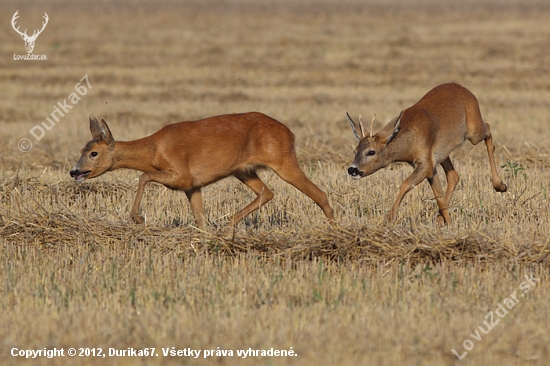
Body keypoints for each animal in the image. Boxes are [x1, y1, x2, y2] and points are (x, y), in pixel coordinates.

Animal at [69, 113, 336, 230]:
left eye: (94, 153)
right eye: (82, 149)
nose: (74, 171)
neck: (154, 150)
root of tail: (290, 134)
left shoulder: (182, 175)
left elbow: (143, 176)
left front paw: (136, 217)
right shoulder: (192, 186)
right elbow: (199, 218)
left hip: (282, 160)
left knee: (319, 193)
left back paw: (335, 229)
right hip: (243, 170)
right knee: (266, 193)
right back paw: (228, 223)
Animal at [350, 83, 508, 224]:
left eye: (371, 152)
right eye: (355, 150)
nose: (352, 169)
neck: (409, 141)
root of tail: (464, 89)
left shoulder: (425, 162)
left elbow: (406, 184)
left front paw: (389, 218)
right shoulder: (429, 165)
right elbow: (439, 197)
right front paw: (449, 223)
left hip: (474, 131)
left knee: (488, 128)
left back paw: (500, 185)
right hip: (442, 153)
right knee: (453, 176)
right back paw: (439, 219)